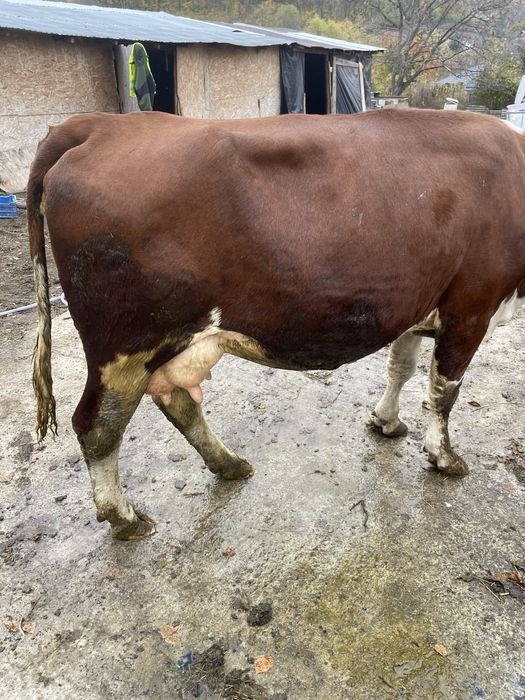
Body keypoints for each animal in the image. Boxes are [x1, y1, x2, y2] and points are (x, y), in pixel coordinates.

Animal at [28, 109, 525, 541]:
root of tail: (98, 124)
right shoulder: (472, 306)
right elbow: (444, 392)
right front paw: (444, 457)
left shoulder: (418, 303)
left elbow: (400, 368)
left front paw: (386, 421)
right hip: (124, 343)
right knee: (97, 426)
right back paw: (124, 517)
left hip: (171, 341)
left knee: (176, 401)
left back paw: (228, 465)